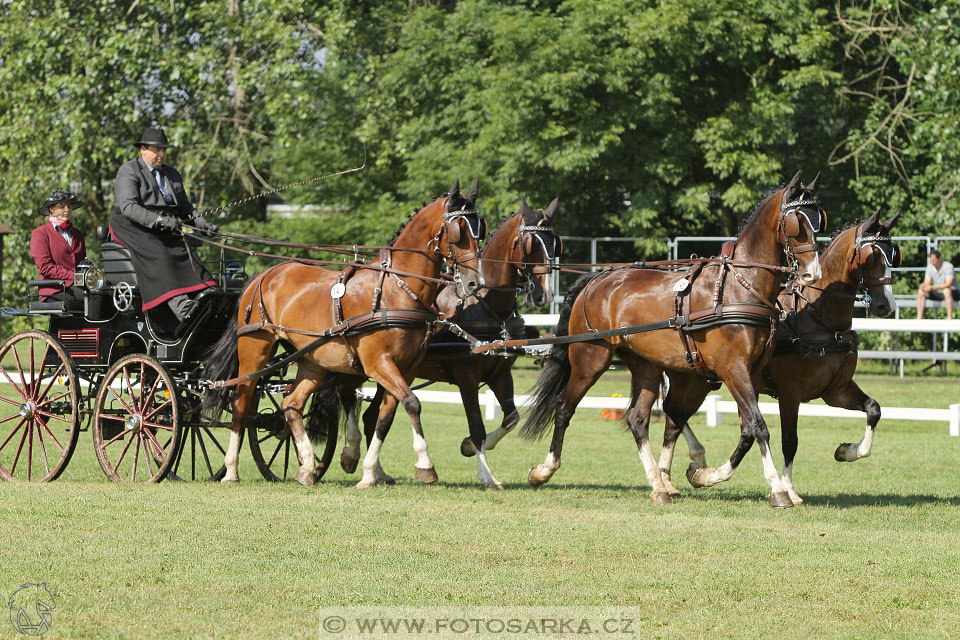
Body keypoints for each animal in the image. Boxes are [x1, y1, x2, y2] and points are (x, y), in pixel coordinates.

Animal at [205, 179, 484, 484]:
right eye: (459, 231)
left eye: (480, 229)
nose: (475, 283)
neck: (396, 289)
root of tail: (266, 274)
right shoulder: (379, 364)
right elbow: (411, 403)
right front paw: (424, 464)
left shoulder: (405, 368)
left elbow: (385, 416)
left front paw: (369, 472)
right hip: (254, 350)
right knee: (241, 404)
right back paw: (231, 469)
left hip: (312, 360)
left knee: (291, 403)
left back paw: (307, 466)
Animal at [342, 198, 560, 488]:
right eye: (530, 245)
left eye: (554, 243)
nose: (545, 294)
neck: (485, 305)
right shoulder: (466, 376)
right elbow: (477, 425)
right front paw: (485, 473)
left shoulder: (500, 373)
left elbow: (512, 418)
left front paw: (469, 447)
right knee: (346, 397)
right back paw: (349, 455)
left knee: (372, 416)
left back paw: (376, 471)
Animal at [516, 174, 824, 504]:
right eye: (796, 221)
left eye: (819, 219)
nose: (812, 273)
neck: (738, 288)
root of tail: (597, 279)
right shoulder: (733, 369)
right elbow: (759, 426)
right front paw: (778, 489)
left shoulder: (749, 373)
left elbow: (747, 430)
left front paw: (705, 474)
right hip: (590, 360)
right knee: (564, 410)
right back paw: (544, 471)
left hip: (647, 366)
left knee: (638, 419)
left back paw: (658, 485)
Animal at [656, 210, 896, 504]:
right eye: (872, 256)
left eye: (893, 254)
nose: (886, 305)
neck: (818, 318)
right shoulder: (790, 392)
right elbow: (789, 441)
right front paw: (788, 489)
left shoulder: (836, 391)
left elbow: (873, 408)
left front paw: (847, 451)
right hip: (692, 380)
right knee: (673, 414)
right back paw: (678, 476)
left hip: (703, 381)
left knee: (674, 419)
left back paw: (673, 479)